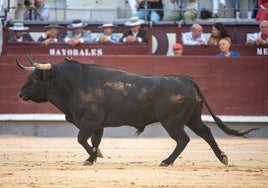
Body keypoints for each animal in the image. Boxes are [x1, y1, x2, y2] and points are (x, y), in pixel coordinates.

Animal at [16, 58, 258, 165]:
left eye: (35, 78)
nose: (20, 95)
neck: (74, 84)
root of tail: (184, 78)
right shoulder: (97, 125)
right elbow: (94, 141)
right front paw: (94, 157)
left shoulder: (90, 121)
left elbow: (82, 139)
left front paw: (93, 157)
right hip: (192, 118)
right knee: (206, 133)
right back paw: (223, 157)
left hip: (172, 122)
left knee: (183, 140)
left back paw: (166, 161)